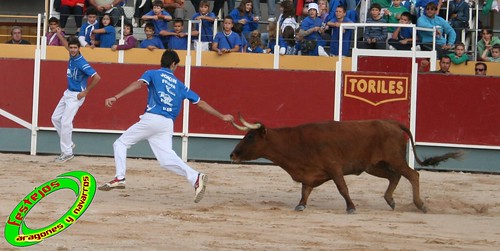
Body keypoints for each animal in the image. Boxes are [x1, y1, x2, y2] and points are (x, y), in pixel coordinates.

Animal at [232, 114, 462, 213]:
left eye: (250, 137)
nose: (232, 154)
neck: (295, 142)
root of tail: (393, 123)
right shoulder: (309, 173)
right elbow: (305, 190)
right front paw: (301, 205)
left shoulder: (334, 168)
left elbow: (342, 188)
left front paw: (351, 207)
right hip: (374, 165)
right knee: (394, 176)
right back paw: (390, 200)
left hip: (394, 159)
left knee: (412, 174)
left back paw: (420, 205)